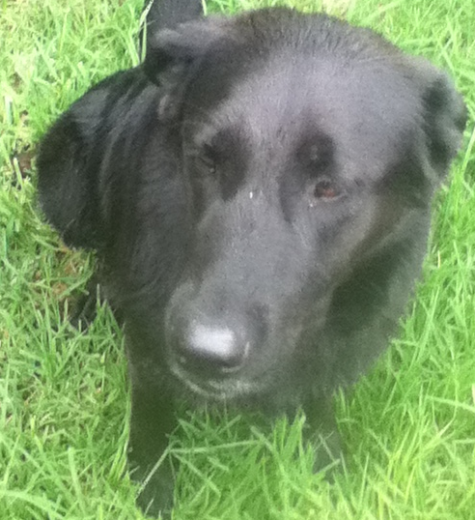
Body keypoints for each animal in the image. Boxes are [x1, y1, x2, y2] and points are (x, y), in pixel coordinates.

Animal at [36, 0, 464, 516]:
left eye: (328, 188)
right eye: (207, 159)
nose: (203, 353)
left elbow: (318, 398)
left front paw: (327, 464)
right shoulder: (150, 346)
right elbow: (151, 416)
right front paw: (149, 487)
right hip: (64, 185)